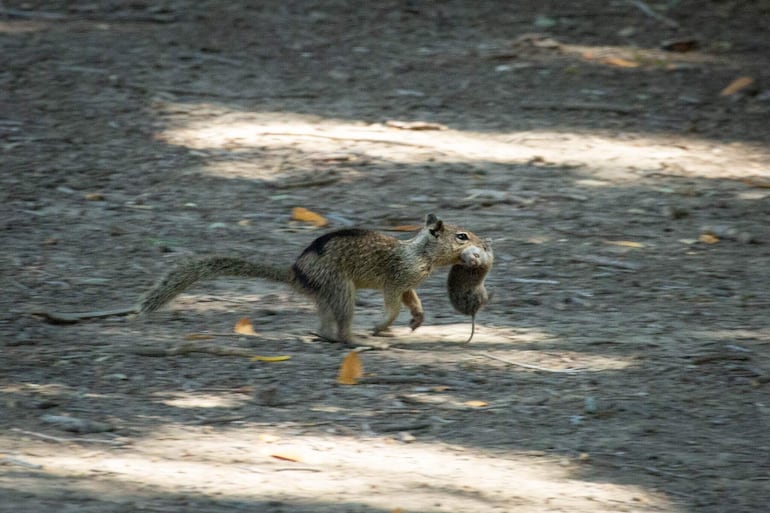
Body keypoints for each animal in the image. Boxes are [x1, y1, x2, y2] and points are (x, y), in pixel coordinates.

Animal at [138, 212, 484, 344]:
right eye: (462, 236)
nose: (484, 245)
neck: (420, 253)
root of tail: (295, 273)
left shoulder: (408, 284)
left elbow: (413, 302)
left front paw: (416, 320)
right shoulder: (396, 279)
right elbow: (393, 305)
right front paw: (381, 325)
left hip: (327, 294)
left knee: (325, 324)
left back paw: (324, 335)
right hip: (341, 289)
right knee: (342, 327)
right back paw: (356, 340)